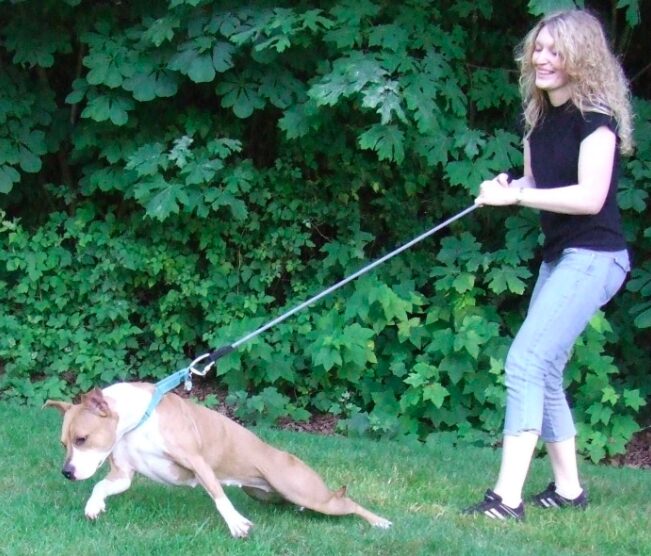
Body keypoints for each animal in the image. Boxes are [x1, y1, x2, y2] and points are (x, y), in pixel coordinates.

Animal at [47, 384, 392, 536]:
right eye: (63, 443)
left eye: (82, 439)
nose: (67, 472)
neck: (136, 421)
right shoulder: (123, 475)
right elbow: (101, 487)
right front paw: (94, 506)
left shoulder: (198, 462)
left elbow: (219, 497)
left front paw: (237, 524)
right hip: (270, 494)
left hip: (307, 492)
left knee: (348, 503)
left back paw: (380, 522)